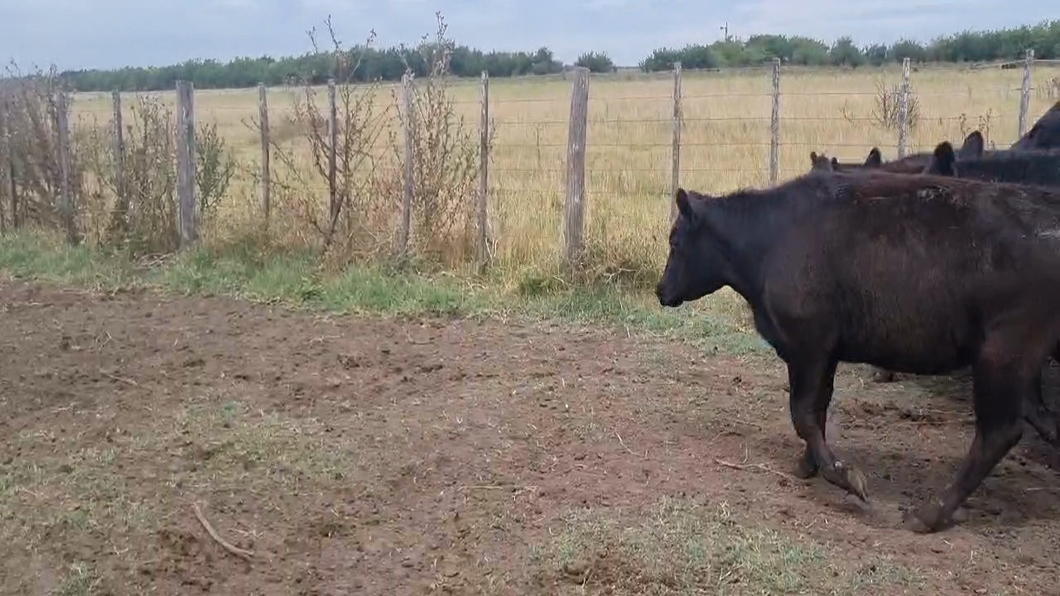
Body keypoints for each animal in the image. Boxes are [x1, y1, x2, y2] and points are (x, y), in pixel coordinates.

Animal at [657, 170, 1060, 528]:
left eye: (675, 242)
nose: (661, 291)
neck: (770, 239)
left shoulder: (809, 347)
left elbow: (803, 415)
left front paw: (843, 476)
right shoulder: (826, 353)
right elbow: (817, 412)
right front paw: (809, 465)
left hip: (1001, 356)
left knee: (998, 434)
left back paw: (929, 513)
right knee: (1040, 420)